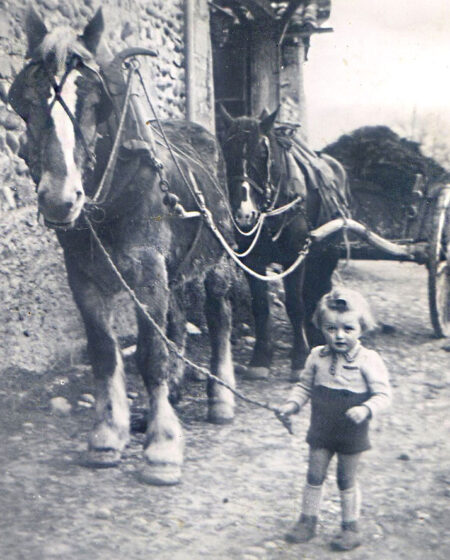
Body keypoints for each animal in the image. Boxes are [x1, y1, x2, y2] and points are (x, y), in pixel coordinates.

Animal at [9, 7, 236, 486]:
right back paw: (176, 389)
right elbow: (104, 353)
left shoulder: (148, 274)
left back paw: (221, 397)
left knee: (219, 315)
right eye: (24, 101)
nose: (60, 199)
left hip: (216, 261)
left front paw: (163, 447)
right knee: (177, 320)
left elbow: (149, 355)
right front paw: (107, 435)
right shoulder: (84, 278)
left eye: (97, 100)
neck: (113, 193)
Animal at [220, 105, 350, 380]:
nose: (244, 214)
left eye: (262, 153)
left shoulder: (295, 255)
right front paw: (260, 358)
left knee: (319, 288)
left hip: (328, 252)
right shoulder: (253, 261)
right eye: (227, 151)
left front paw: (299, 358)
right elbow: (261, 306)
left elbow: (295, 304)